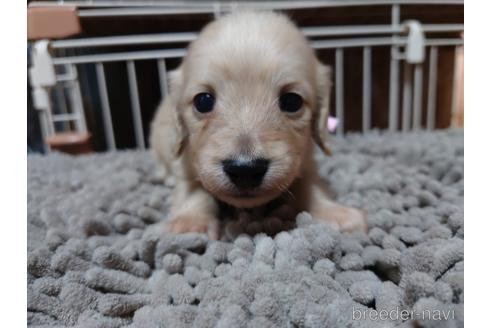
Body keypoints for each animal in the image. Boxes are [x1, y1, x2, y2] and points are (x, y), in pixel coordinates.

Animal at [152, 10, 368, 238]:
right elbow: (193, 189)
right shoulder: (187, 163)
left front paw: (336, 213)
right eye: (203, 101)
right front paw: (190, 224)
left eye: (292, 101)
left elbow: (311, 186)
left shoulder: (305, 162)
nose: (244, 170)